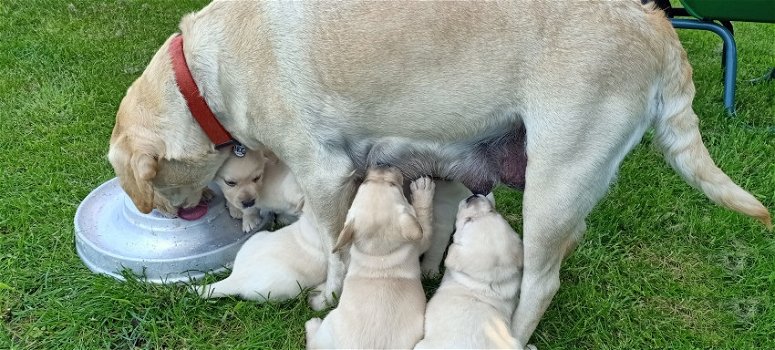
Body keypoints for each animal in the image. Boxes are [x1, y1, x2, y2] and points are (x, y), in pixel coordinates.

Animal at [304, 168, 436, 348]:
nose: (381, 166)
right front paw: (423, 190)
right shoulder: (420, 241)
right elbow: (424, 221)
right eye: (393, 184)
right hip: (327, 325)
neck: (379, 253)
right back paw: (312, 324)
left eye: (365, 183)